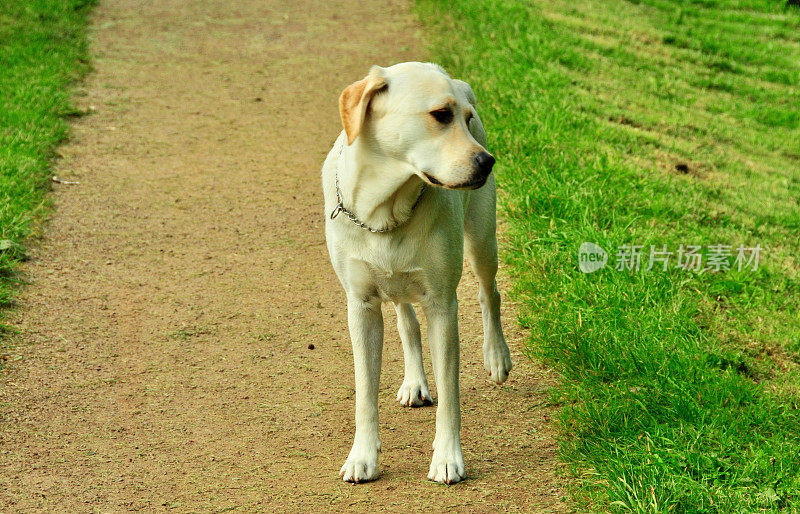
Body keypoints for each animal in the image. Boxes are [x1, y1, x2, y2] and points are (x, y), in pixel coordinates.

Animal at [320, 62, 512, 482]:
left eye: (466, 119)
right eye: (440, 115)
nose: (488, 162)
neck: (385, 208)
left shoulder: (442, 306)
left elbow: (451, 395)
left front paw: (448, 458)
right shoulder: (361, 307)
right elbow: (364, 393)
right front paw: (362, 456)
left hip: (482, 239)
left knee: (489, 292)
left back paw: (497, 357)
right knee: (406, 321)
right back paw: (414, 382)